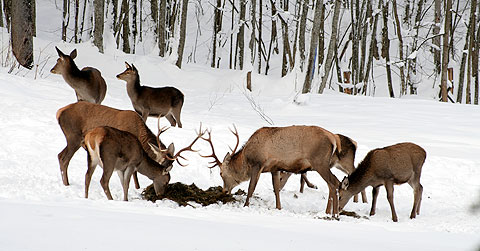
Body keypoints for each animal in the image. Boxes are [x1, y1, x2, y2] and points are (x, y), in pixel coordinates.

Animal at [201, 125, 350, 216]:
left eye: (221, 173)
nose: (224, 190)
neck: (246, 160)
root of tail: (335, 139)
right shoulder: (275, 168)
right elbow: (277, 188)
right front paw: (279, 207)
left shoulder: (258, 164)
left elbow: (251, 188)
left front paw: (245, 205)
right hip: (323, 164)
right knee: (334, 184)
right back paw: (329, 212)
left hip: (320, 162)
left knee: (335, 183)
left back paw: (334, 214)